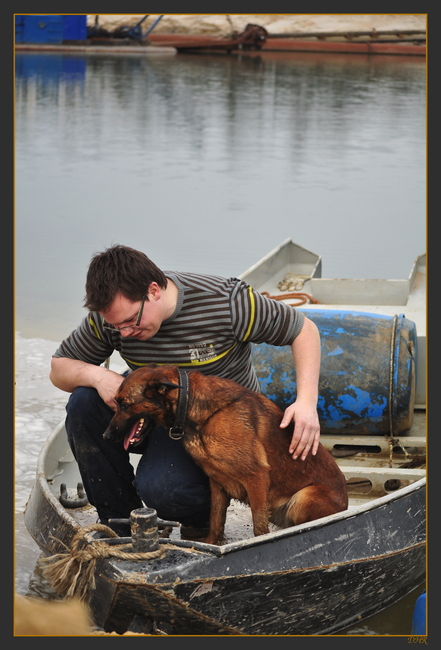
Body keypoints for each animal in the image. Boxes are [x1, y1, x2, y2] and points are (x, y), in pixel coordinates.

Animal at [104, 365, 348, 544]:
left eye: (124, 404)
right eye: (116, 403)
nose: (106, 436)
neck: (189, 403)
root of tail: (345, 505)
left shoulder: (256, 478)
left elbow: (259, 528)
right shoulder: (216, 482)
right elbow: (215, 518)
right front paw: (211, 544)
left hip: (302, 499)